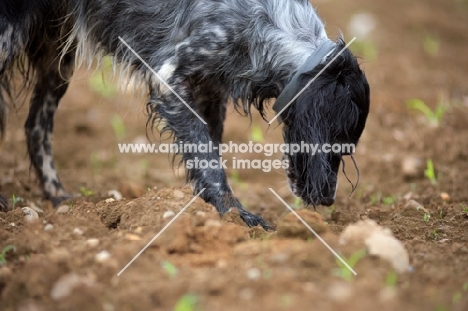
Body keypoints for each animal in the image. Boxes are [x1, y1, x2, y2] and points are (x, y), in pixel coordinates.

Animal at [1, 0, 372, 229]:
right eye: (338, 144)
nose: (327, 200)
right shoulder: (169, 79)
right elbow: (210, 163)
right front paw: (236, 216)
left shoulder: (211, 92)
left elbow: (207, 155)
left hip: (58, 56)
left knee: (36, 126)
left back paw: (59, 198)